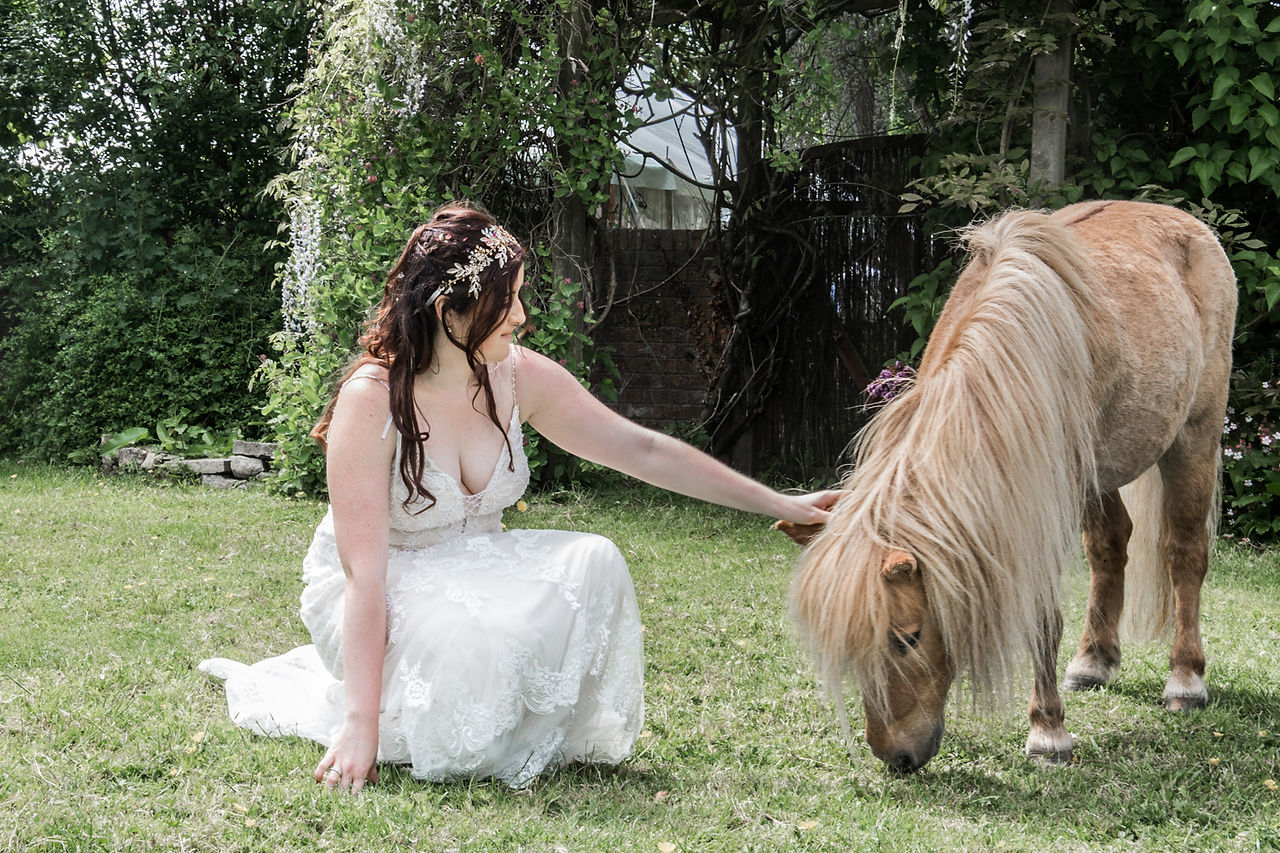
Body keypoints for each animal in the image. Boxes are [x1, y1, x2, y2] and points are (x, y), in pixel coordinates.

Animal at [785, 200, 1236, 772]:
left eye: (906, 638)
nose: (895, 757)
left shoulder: (1043, 507)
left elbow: (1043, 618)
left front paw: (1048, 732)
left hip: (1194, 436)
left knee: (1185, 554)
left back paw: (1185, 680)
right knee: (1111, 546)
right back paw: (1094, 661)